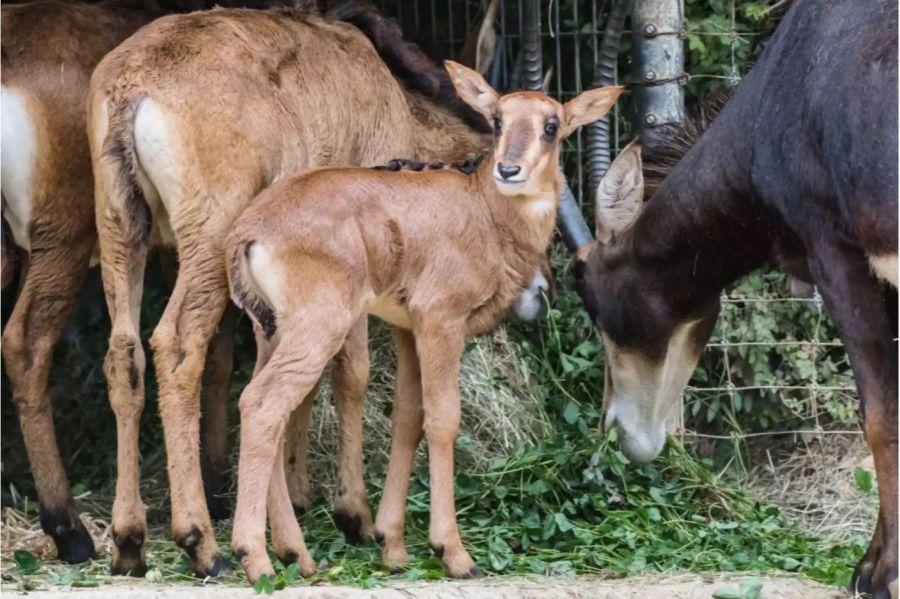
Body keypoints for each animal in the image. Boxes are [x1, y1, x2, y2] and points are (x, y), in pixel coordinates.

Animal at [89, 2, 506, 580]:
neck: (399, 99)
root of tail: (132, 86)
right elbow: (352, 372)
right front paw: (353, 512)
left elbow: (300, 387)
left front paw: (299, 499)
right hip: (209, 230)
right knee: (176, 346)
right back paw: (200, 540)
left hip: (119, 225)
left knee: (123, 353)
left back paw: (129, 540)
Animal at [223, 61, 620, 580]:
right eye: (497, 119)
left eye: (552, 125)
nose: (508, 169)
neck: (482, 207)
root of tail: (250, 231)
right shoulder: (441, 321)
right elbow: (444, 419)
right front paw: (453, 552)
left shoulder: (408, 328)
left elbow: (408, 418)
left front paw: (392, 546)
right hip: (318, 328)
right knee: (263, 404)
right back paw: (257, 560)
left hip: (271, 332)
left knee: (264, 404)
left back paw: (297, 554)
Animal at [572, 2, 896, 596]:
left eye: (591, 293)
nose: (621, 434)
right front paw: (869, 565)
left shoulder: (835, 253)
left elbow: (881, 415)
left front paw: (883, 573)